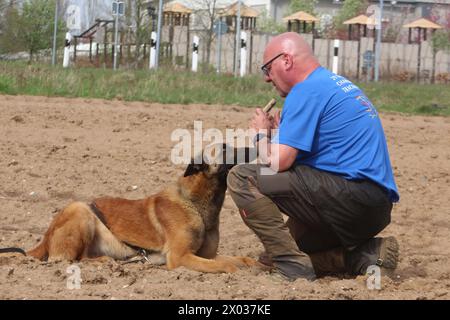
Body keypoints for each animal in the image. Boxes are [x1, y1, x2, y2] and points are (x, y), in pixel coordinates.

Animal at [0, 145, 256, 272]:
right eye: (225, 147)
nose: (253, 142)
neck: (195, 203)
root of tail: (45, 237)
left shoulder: (205, 255)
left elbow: (238, 259)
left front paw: (254, 264)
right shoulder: (181, 257)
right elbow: (225, 265)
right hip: (81, 210)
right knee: (70, 260)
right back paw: (104, 262)